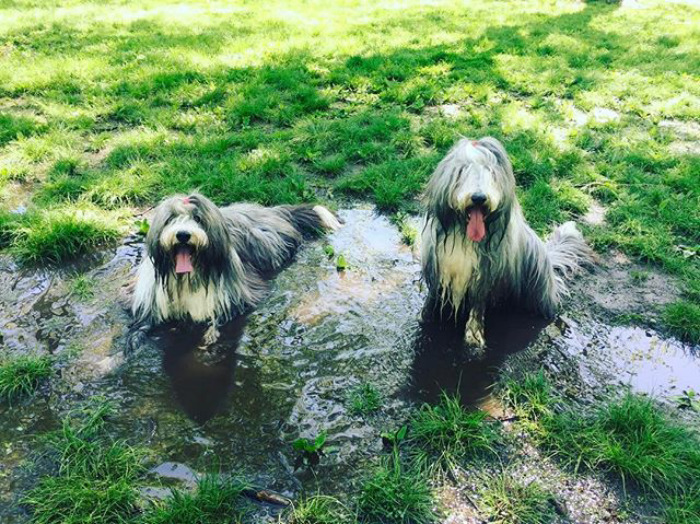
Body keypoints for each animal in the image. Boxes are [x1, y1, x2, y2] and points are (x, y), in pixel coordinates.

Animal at [131, 193, 342, 352]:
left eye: (198, 219)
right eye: (170, 219)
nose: (183, 234)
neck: (188, 277)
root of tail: (272, 210)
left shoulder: (238, 294)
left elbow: (220, 318)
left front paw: (209, 337)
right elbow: (143, 323)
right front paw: (134, 341)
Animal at [422, 137, 592, 354]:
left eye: (491, 172)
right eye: (464, 170)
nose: (479, 198)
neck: (464, 235)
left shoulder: (486, 275)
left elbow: (477, 305)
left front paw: (474, 337)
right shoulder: (438, 266)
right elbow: (434, 297)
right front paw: (428, 316)